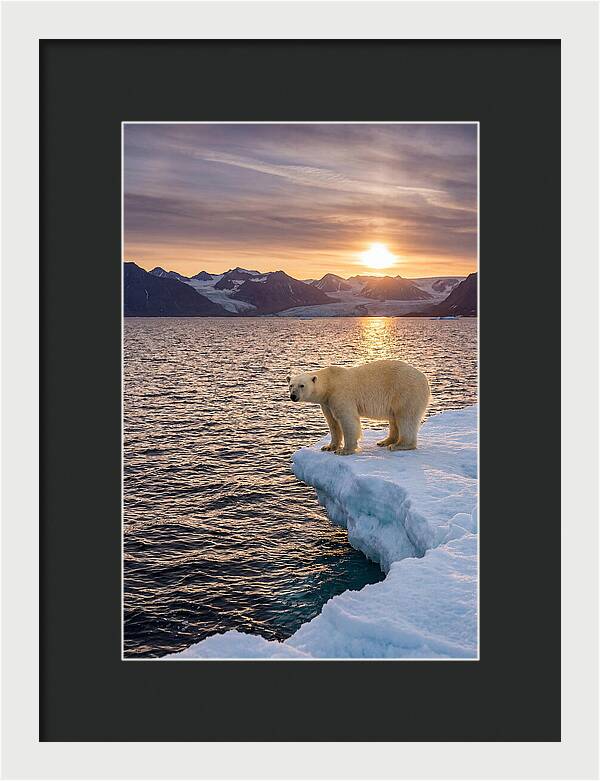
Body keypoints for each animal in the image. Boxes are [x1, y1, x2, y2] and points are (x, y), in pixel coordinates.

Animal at [287, 359, 430, 456]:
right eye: (291, 385)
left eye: (302, 385)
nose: (293, 396)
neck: (330, 383)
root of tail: (425, 378)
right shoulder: (327, 402)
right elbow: (332, 423)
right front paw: (328, 447)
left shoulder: (341, 394)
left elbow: (347, 420)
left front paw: (344, 450)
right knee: (394, 418)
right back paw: (385, 441)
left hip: (406, 391)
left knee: (406, 417)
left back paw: (398, 445)